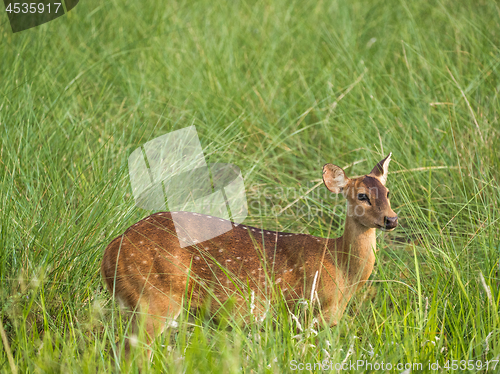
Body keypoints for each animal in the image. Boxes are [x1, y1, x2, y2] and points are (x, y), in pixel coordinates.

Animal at [101, 152, 398, 354]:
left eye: (387, 192)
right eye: (362, 196)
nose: (391, 219)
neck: (341, 268)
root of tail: (113, 250)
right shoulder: (303, 311)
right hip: (156, 296)